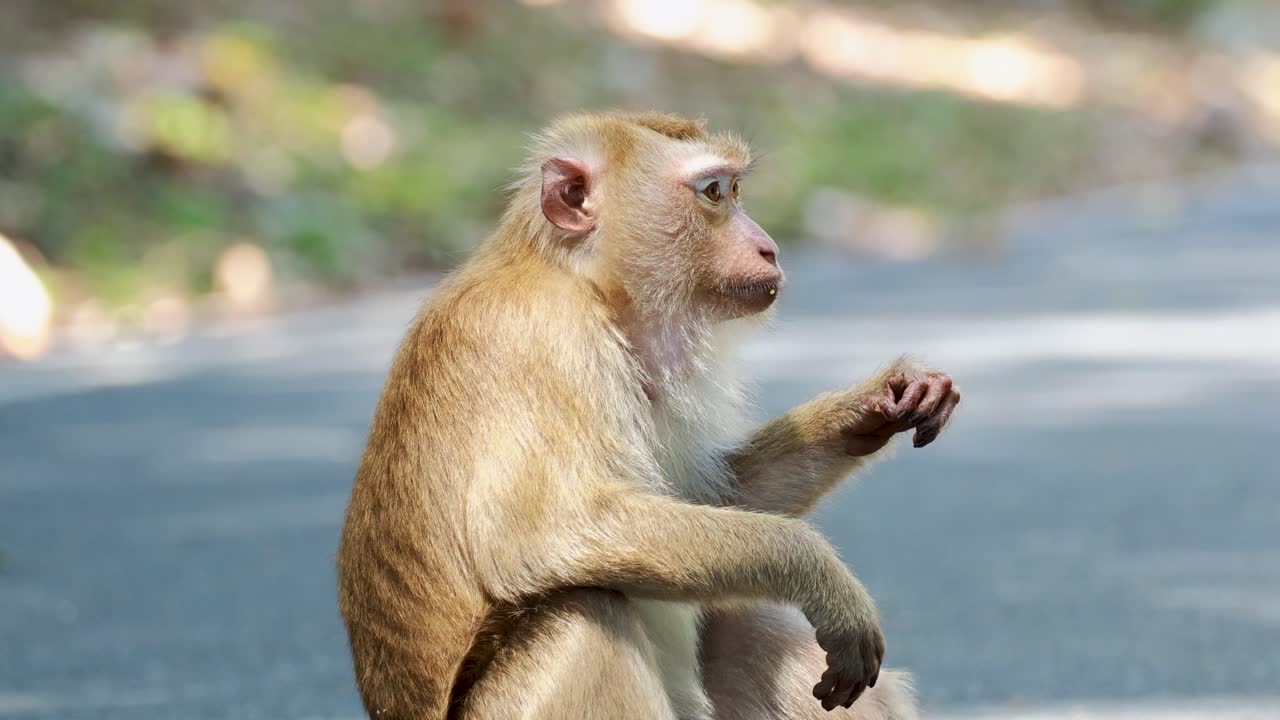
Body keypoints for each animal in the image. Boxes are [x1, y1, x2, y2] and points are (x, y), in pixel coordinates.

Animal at [337, 111, 960, 720]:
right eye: (714, 193)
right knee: (583, 608)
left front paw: (871, 408)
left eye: (735, 189)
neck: (587, 284)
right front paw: (818, 575)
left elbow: (713, 501)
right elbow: (542, 535)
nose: (770, 248)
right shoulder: (543, 337)